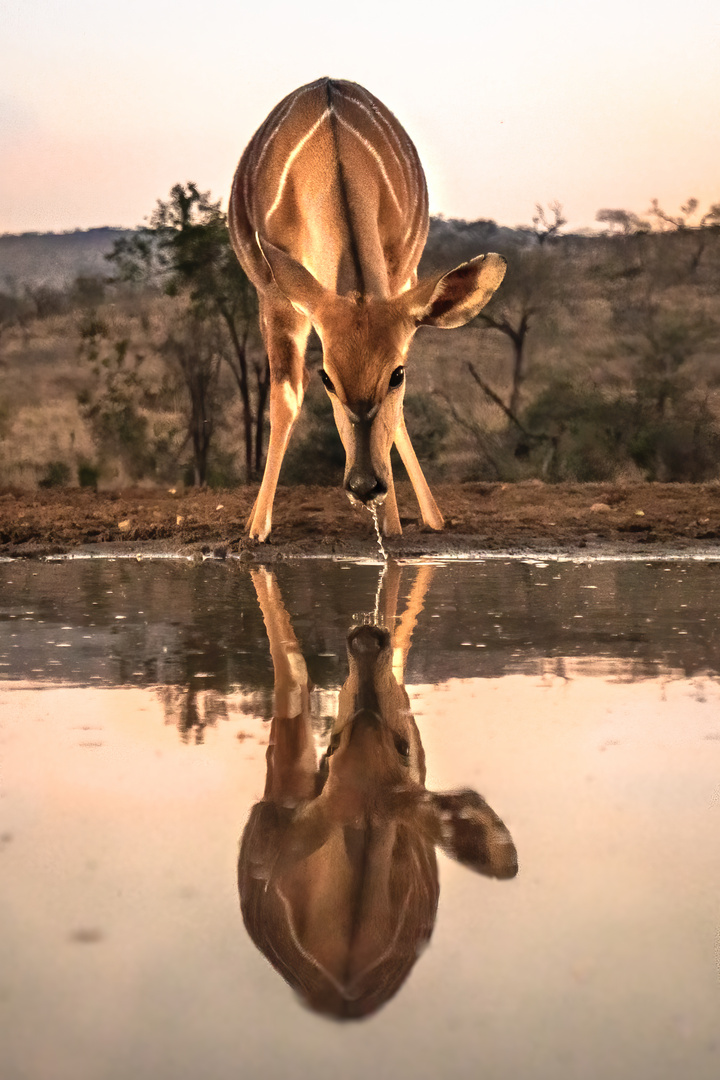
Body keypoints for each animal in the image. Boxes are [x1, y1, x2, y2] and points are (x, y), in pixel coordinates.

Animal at [231, 76, 507, 540]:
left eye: (397, 375)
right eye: (327, 378)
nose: (364, 485)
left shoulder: (400, 286)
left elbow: (395, 414)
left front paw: (393, 525)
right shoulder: (276, 295)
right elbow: (285, 397)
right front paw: (258, 528)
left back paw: (429, 517)